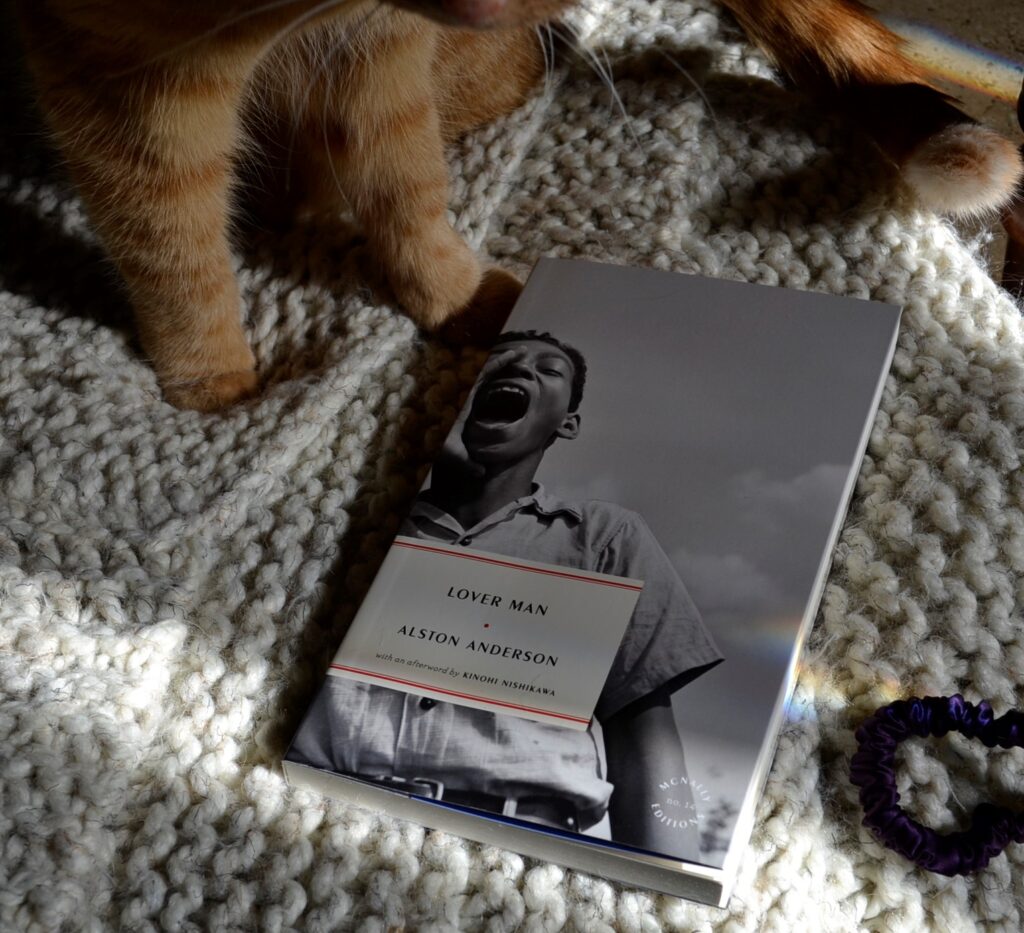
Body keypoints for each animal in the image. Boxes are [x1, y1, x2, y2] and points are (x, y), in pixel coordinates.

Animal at [12, 0, 1019, 409]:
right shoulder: (115, 82)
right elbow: (170, 242)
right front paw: (210, 375)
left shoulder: (381, 50)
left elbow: (407, 178)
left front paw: (450, 293)